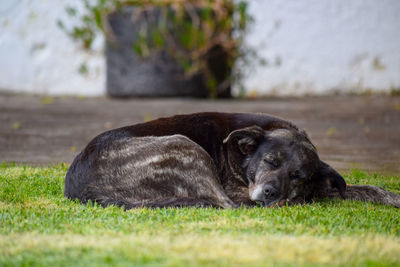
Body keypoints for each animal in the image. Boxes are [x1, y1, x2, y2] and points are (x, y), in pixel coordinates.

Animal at [64, 113, 398, 209]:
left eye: (298, 175)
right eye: (269, 162)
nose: (270, 192)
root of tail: (82, 189)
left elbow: (364, 188)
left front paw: (392, 197)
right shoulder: (237, 189)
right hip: (184, 146)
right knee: (228, 205)